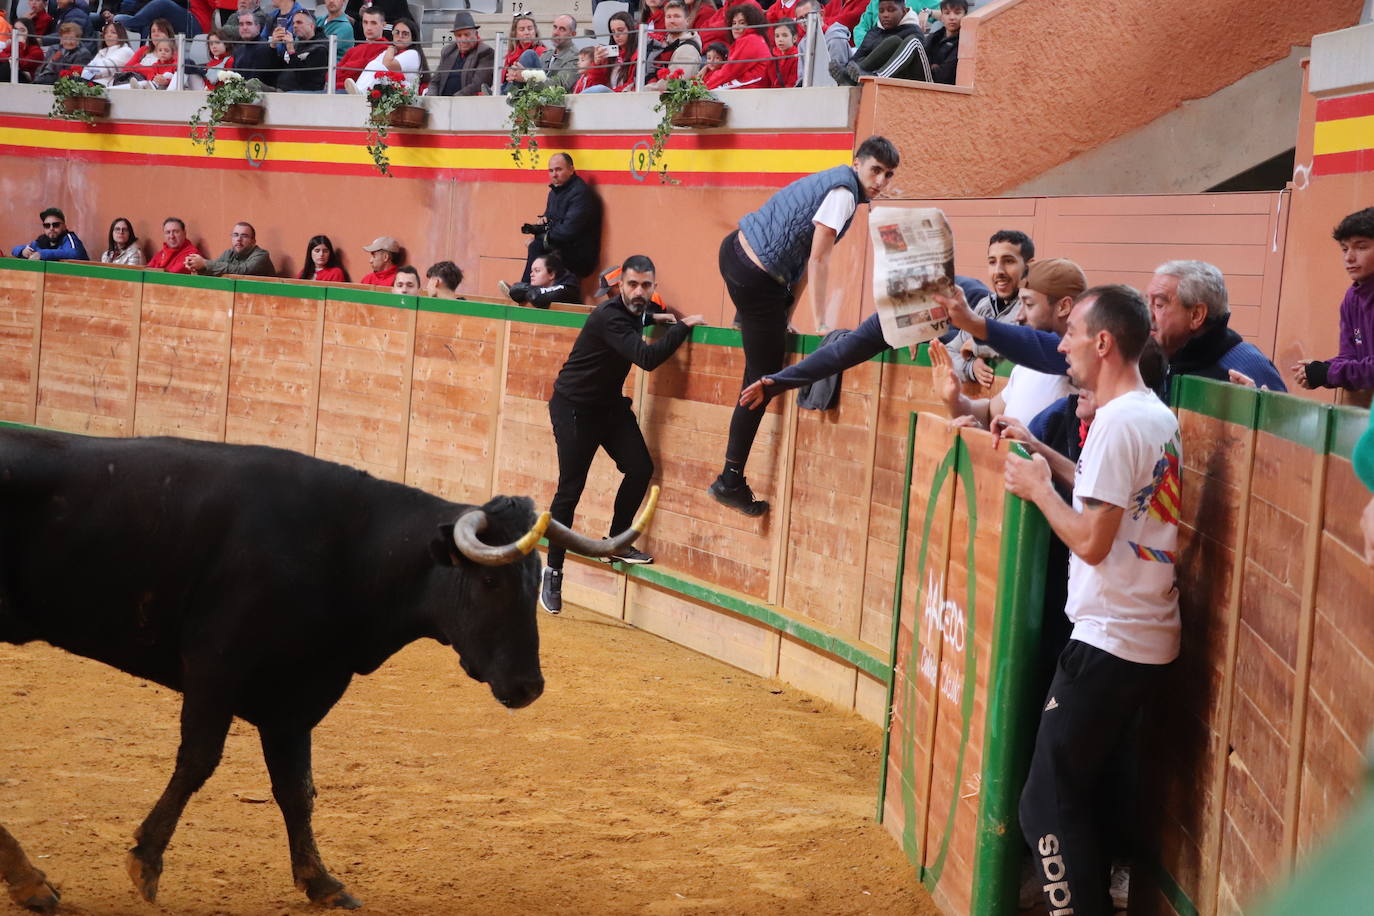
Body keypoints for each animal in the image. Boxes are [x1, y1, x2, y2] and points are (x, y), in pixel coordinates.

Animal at [0, 428, 654, 911]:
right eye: (490, 581)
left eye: (535, 578)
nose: (527, 687)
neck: (346, 548)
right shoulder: (216, 668)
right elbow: (198, 763)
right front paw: (146, 863)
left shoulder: (295, 700)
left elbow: (298, 789)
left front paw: (322, 882)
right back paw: (32, 882)